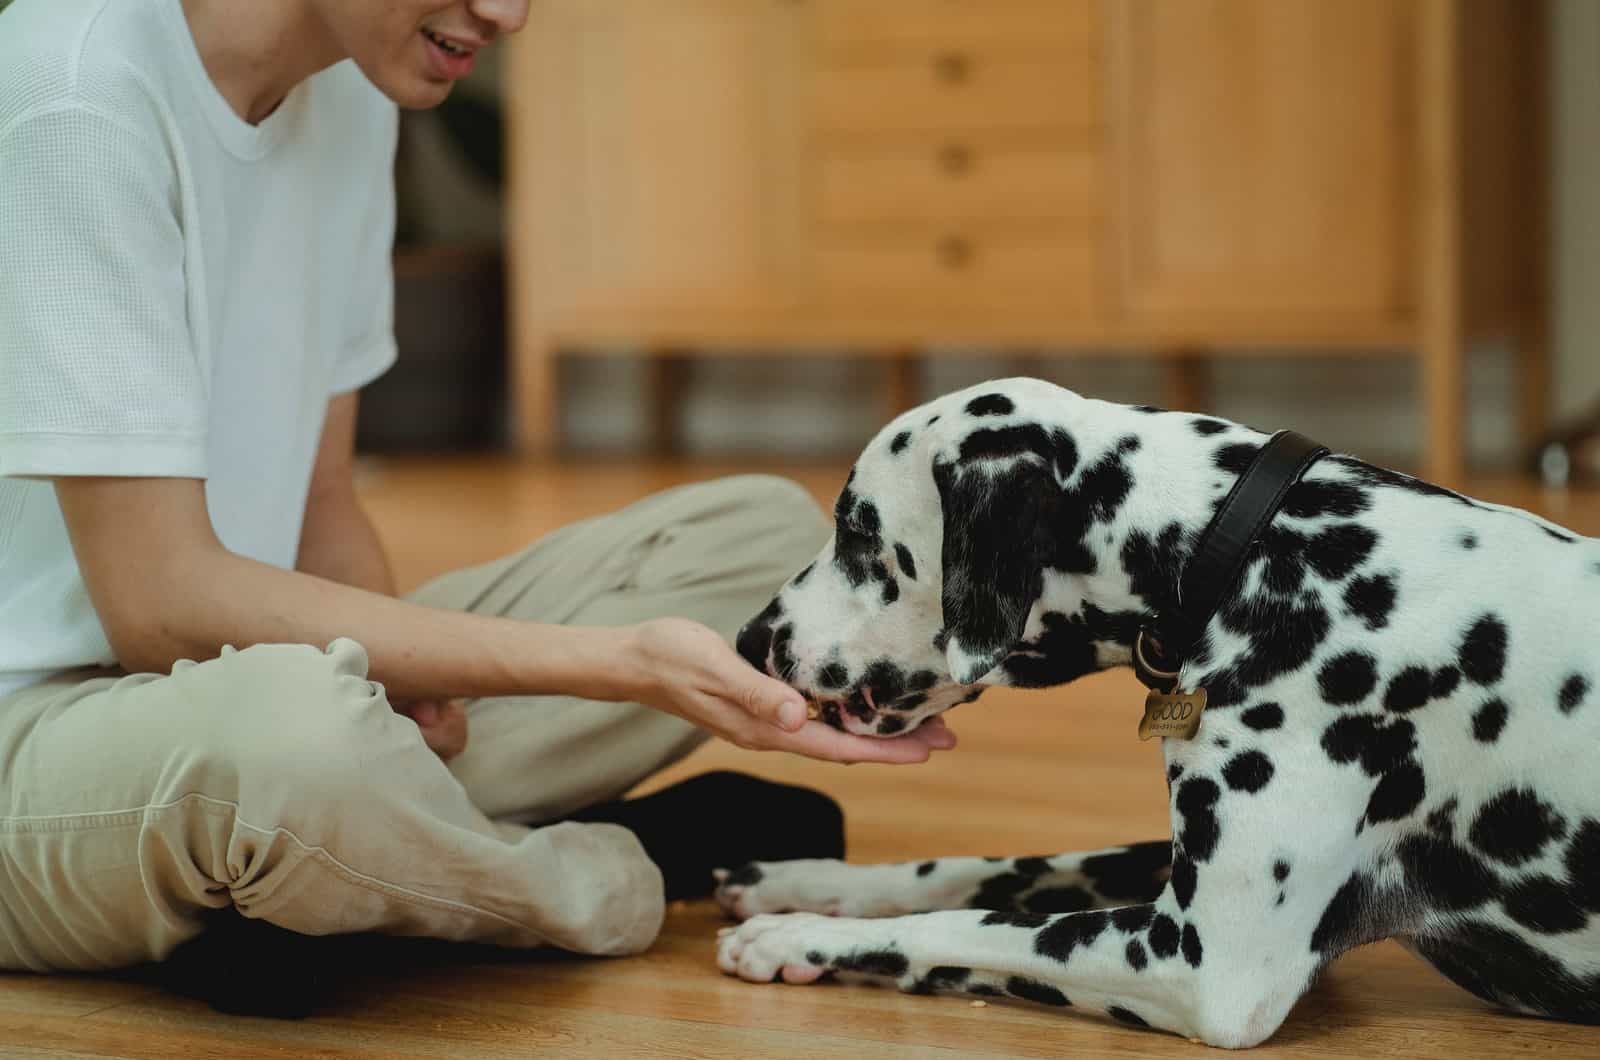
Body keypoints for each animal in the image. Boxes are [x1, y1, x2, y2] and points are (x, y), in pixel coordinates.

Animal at [723, 379, 1600, 1043]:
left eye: (856, 532)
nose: (747, 638)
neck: (1253, 551)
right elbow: (984, 870)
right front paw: (808, 882)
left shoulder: (1199, 961)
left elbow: (964, 924)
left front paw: (799, 933)